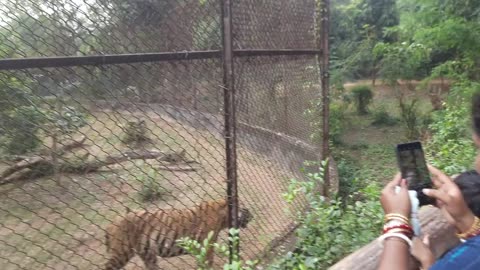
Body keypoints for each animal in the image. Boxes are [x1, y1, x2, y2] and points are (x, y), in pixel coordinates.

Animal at [104, 199, 253, 268]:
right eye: (245, 210)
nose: (252, 215)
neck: (224, 218)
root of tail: (111, 223)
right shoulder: (207, 246)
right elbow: (207, 262)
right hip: (121, 253)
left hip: (147, 254)